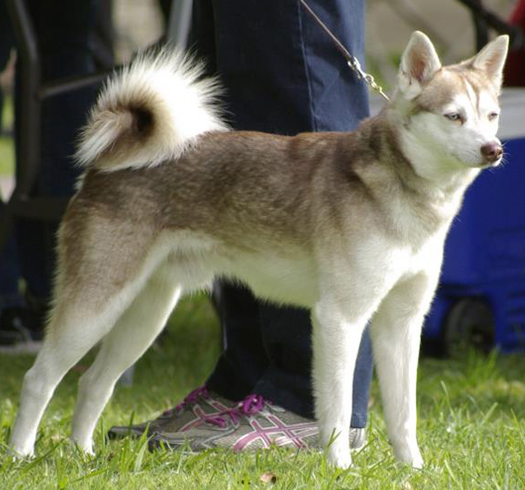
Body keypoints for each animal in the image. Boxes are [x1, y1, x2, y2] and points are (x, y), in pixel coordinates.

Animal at [9, 31, 508, 469]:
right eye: (453, 116)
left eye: (492, 115)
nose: (495, 150)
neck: (408, 196)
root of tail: (103, 166)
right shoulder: (340, 319)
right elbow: (337, 409)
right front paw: (340, 468)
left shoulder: (401, 324)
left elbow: (405, 416)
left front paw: (413, 470)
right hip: (95, 306)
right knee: (38, 380)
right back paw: (20, 456)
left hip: (145, 316)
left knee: (94, 383)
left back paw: (82, 455)